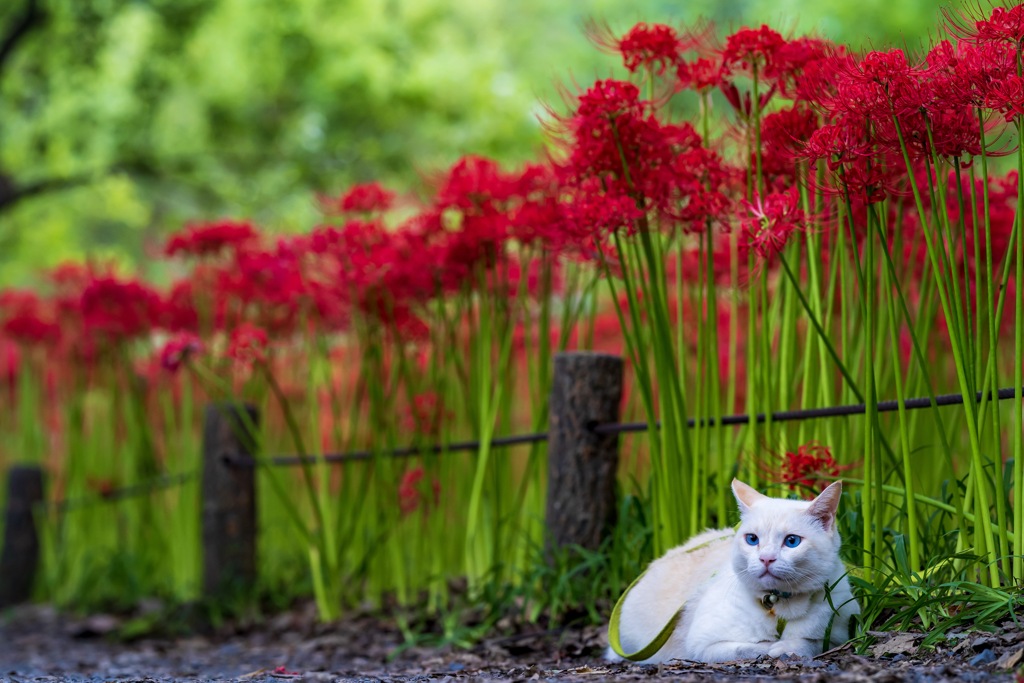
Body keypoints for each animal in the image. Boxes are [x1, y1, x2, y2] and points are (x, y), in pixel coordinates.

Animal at [602, 481, 860, 663]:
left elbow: (809, 642)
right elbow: (748, 647)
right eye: (752, 539)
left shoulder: (839, 635)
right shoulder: (704, 645)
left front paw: (785, 647)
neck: (778, 605)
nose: (766, 558)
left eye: (792, 541)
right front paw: (771, 647)